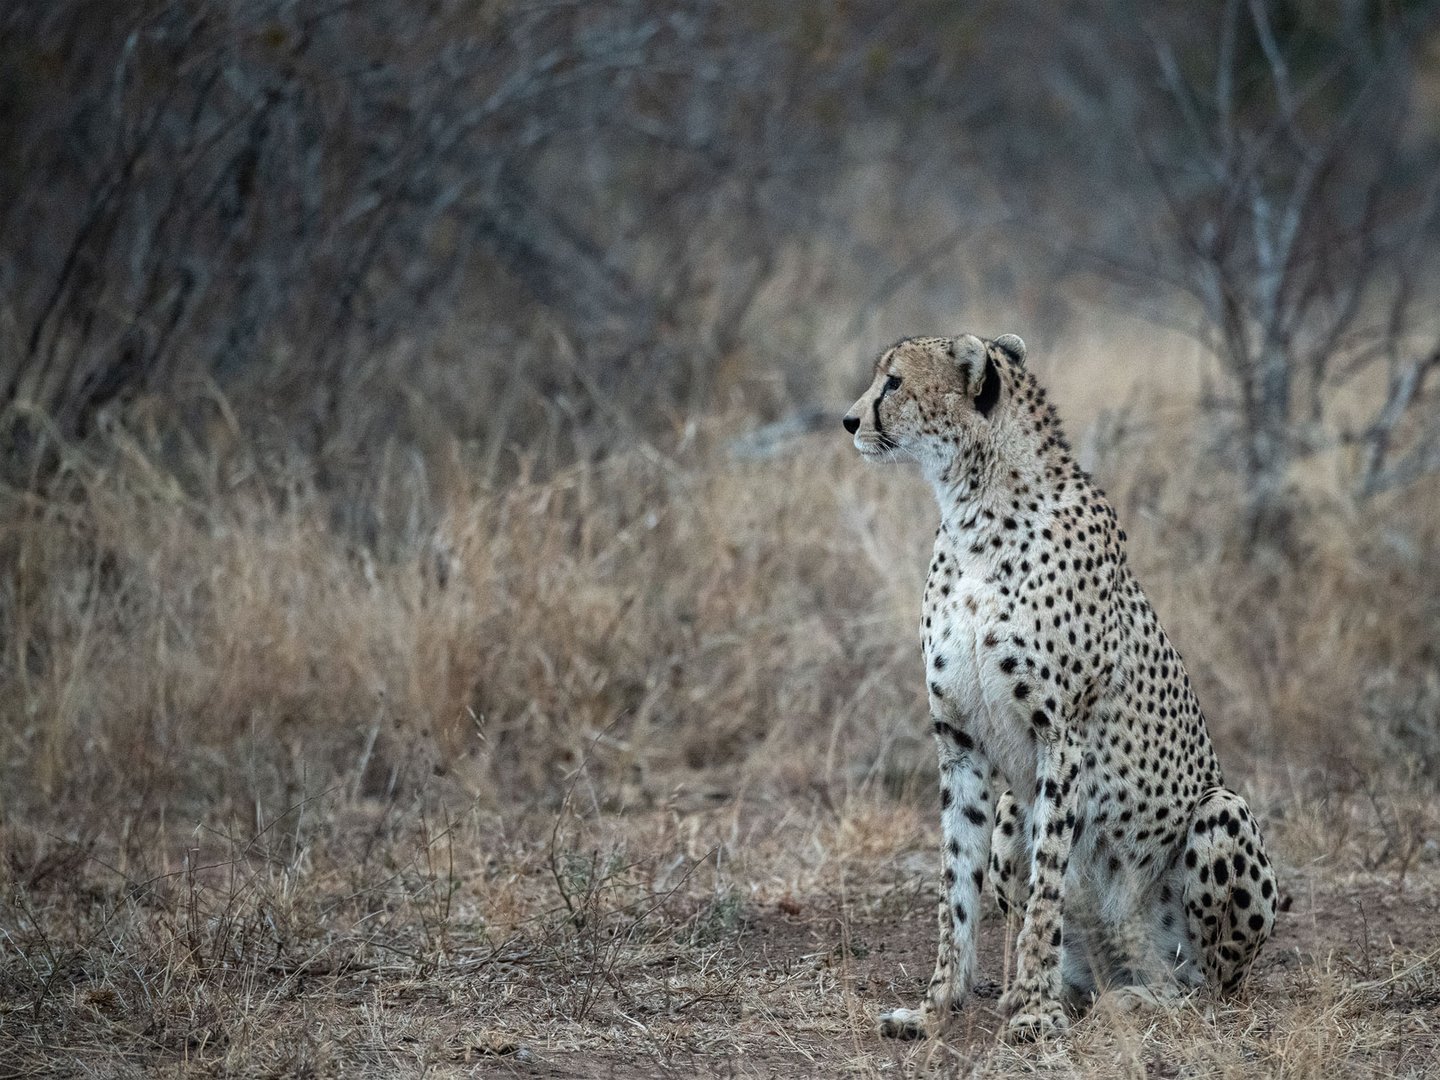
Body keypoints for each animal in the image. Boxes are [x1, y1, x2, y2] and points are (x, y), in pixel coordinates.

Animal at [840, 334, 1278, 1042]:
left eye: (896, 383)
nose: (850, 421)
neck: (973, 513)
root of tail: (1122, 963)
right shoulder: (958, 742)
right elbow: (955, 884)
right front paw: (938, 1006)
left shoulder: (1061, 737)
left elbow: (1047, 882)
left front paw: (1032, 1012)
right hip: (1010, 815)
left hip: (1221, 811)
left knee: (1208, 987)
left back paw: (1140, 999)